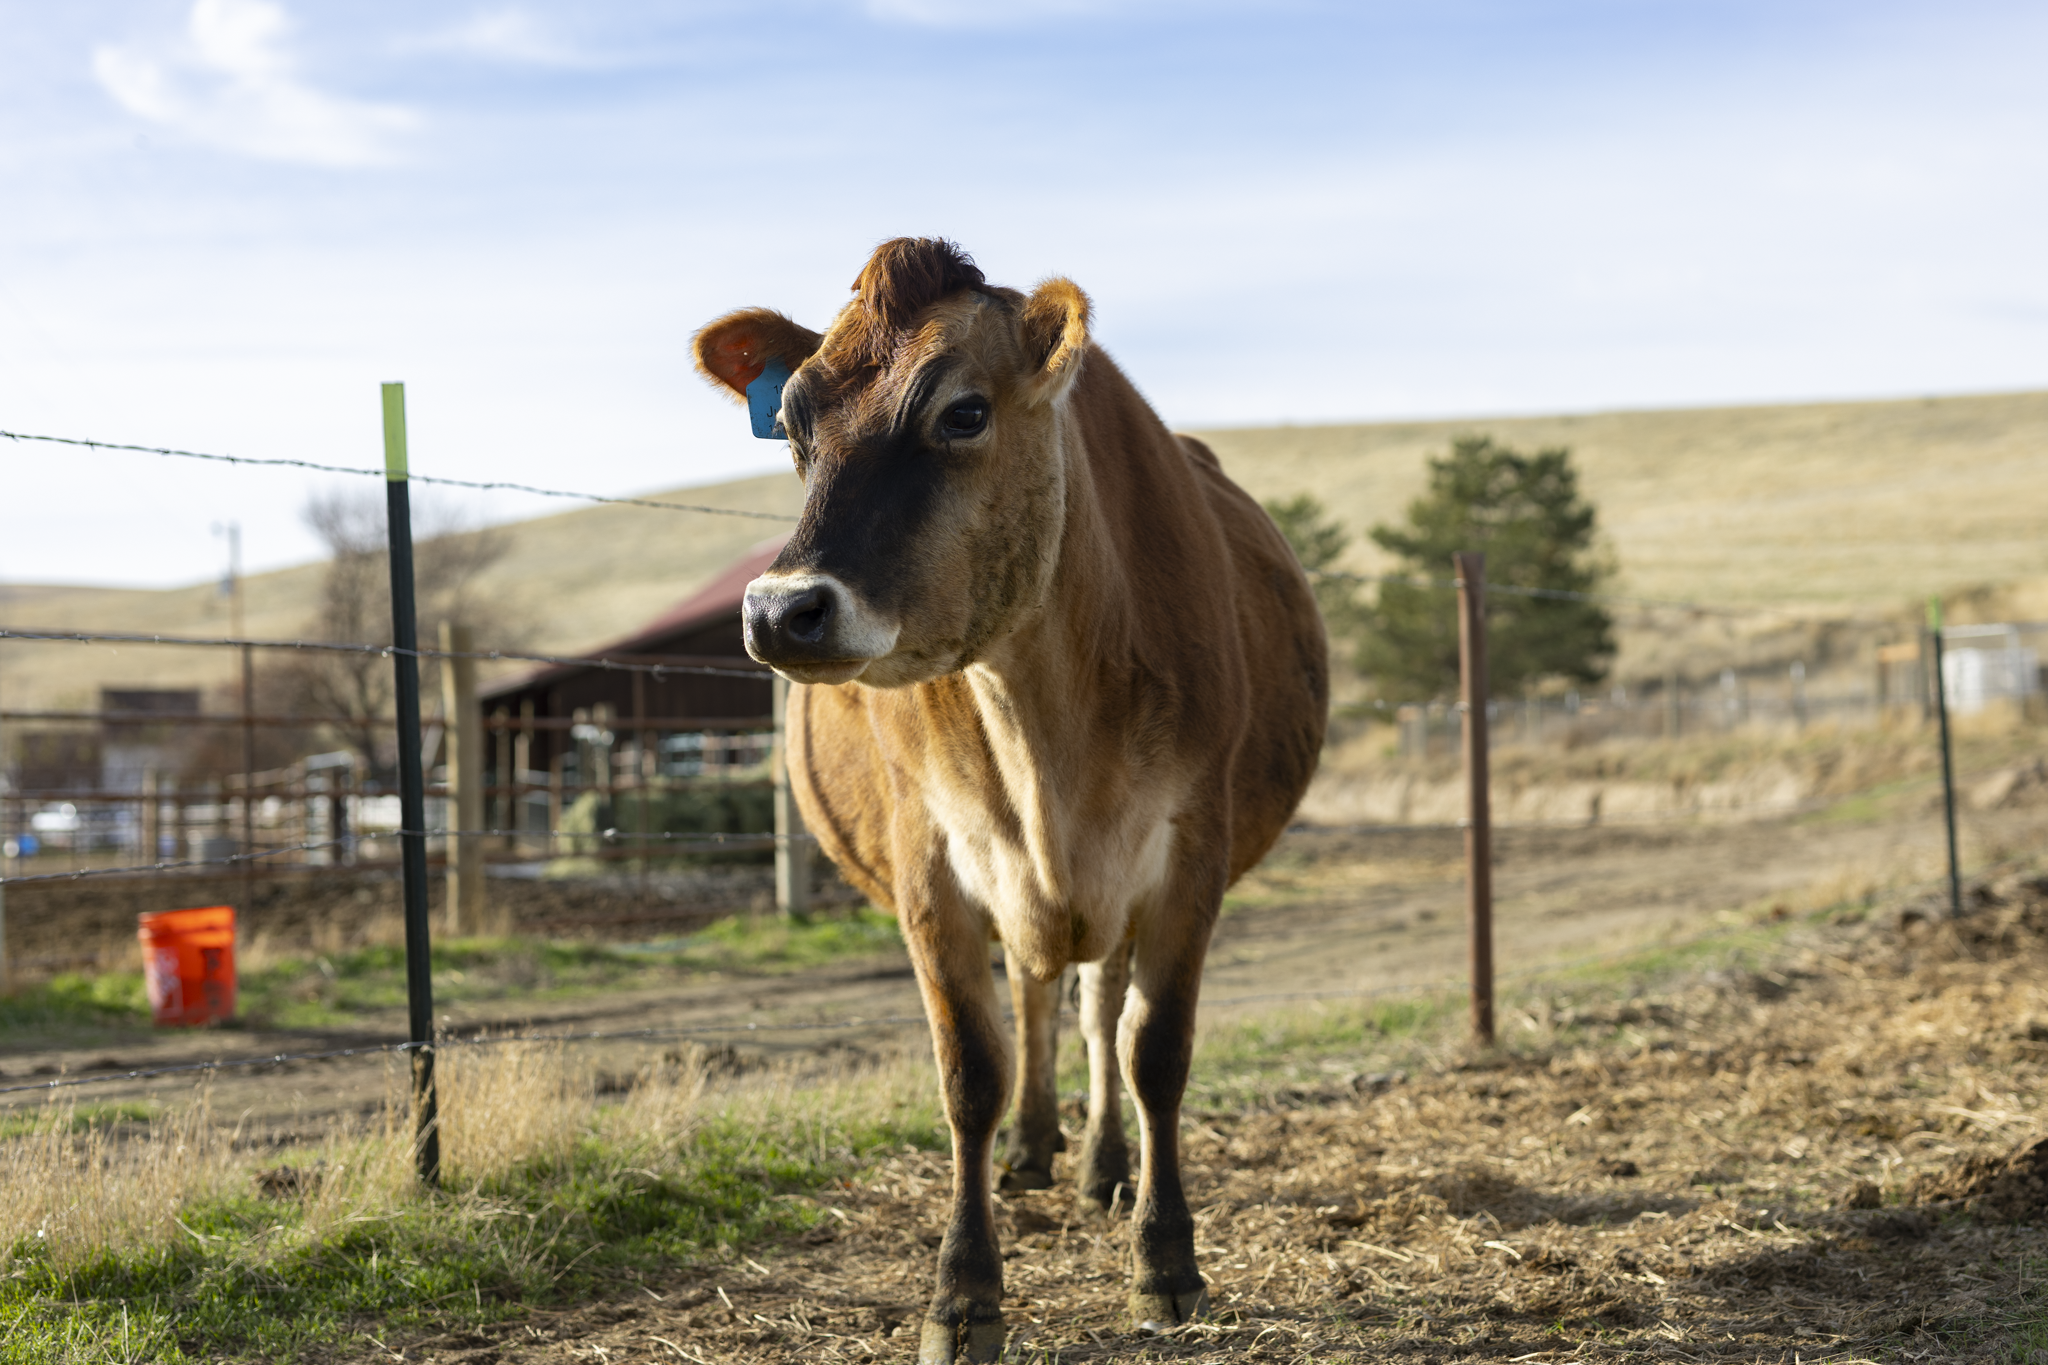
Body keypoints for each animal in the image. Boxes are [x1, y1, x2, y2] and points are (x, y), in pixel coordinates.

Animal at [692, 238, 1327, 1363]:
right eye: (794, 425)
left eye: (963, 413)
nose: (780, 609)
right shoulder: (929, 864)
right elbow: (969, 1073)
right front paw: (962, 1294)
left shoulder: (1186, 851)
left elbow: (1152, 1050)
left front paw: (1166, 1263)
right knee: (1037, 992)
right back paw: (1032, 1149)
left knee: (1095, 1005)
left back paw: (1101, 1166)